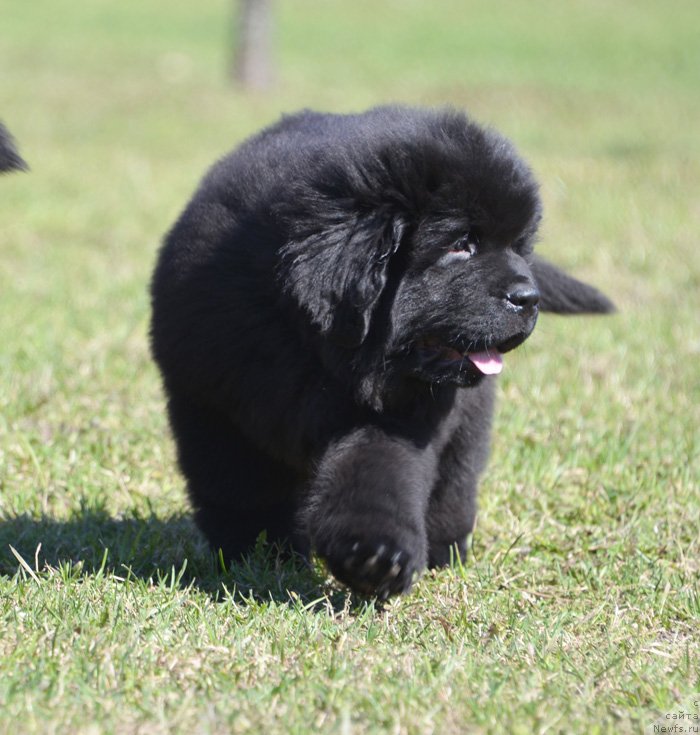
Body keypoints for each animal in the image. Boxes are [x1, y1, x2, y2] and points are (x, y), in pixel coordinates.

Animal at [149, 105, 612, 600]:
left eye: (519, 246)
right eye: (460, 244)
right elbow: (237, 485)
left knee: (457, 479)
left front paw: (374, 558)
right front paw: (254, 553)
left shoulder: (400, 416)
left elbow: (375, 472)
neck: (317, 348)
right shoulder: (213, 403)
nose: (529, 297)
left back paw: (446, 552)